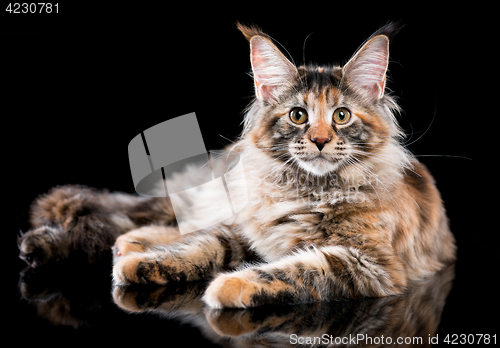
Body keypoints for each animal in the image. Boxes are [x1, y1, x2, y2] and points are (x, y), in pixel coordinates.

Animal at [18, 23, 458, 308]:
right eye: (298, 115)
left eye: (342, 116)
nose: (319, 140)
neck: (305, 193)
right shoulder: (247, 230)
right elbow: (205, 244)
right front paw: (144, 265)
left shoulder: (369, 263)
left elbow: (293, 269)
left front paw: (226, 287)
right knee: (150, 216)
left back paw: (133, 242)